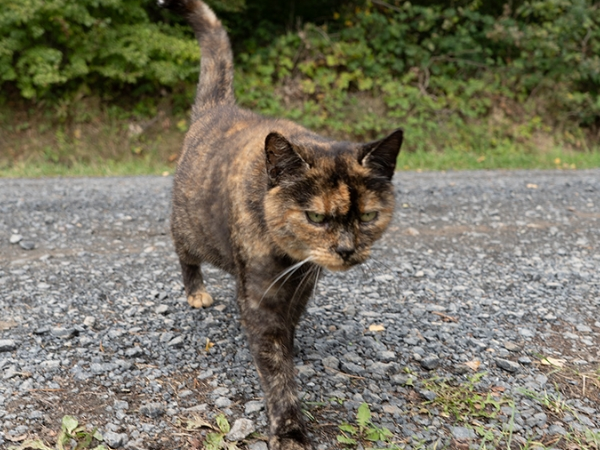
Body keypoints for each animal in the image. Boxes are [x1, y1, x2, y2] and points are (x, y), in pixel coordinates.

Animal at [163, 1, 404, 448]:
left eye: (368, 216)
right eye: (316, 216)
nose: (346, 249)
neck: (289, 259)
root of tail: (219, 107)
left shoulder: (304, 281)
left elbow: (291, 325)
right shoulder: (261, 296)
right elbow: (275, 365)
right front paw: (290, 428)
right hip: (189, 227)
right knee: (186, 255)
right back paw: (196, 291)